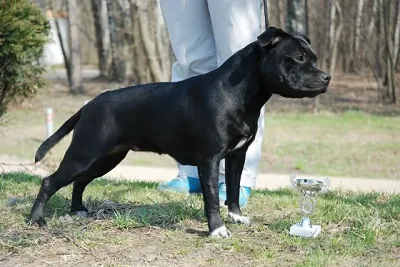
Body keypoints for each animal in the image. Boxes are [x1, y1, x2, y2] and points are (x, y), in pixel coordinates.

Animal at [27, 27, 328, 239]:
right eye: (299, 58)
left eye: (313, 58)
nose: (327, 77)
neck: (240, 94)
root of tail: (89, 105)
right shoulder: (209, 159)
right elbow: (211, 198)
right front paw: (217, 230)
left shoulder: (236, 157)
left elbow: (231, 189)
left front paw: (236, 216)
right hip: (84, 153)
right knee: (50, 181)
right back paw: (36, 219)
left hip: (106, 158)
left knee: (80, 181)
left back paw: (77, 210)